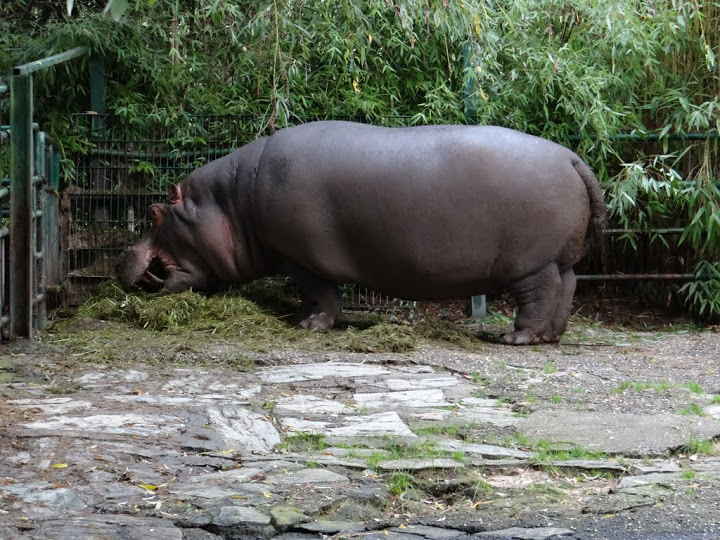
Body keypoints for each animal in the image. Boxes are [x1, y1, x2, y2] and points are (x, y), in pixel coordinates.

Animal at [119, 121, 606, 345]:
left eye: (155, 211)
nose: (125, 257)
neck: (230, 202)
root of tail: (572, 158)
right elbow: (316, 294)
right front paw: (300, 320)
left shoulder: (301, 257)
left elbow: (320, 293)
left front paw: (308, 325)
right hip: (559, 258)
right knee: (567, 287)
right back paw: (551, 337)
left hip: (531, 262)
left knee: (540, 295)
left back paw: (517, 338)